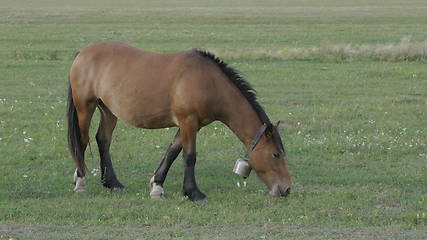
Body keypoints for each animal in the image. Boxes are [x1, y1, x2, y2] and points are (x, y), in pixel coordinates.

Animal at [67, 40, 290, 201]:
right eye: (276, 154)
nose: (287, 189)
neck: (208, 81)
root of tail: (83, 53)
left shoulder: (190, 125)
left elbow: (172, 153)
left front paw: (157, 187)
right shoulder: (188, 122)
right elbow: (189, 156)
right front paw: (193, 193)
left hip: (108, 110)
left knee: (103, 140)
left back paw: (113, 183)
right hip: (85, 107)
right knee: (83, 141)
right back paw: (80, 183)